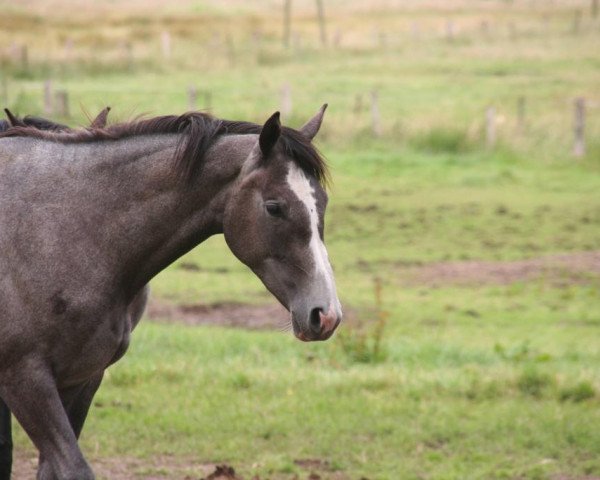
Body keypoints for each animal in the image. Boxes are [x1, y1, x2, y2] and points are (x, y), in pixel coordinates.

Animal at [0, 107, 342, 478]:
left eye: (323, 203)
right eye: (274, 207)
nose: (326, 315)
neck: (64, 228)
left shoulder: (82, 378)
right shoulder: (26, 379)